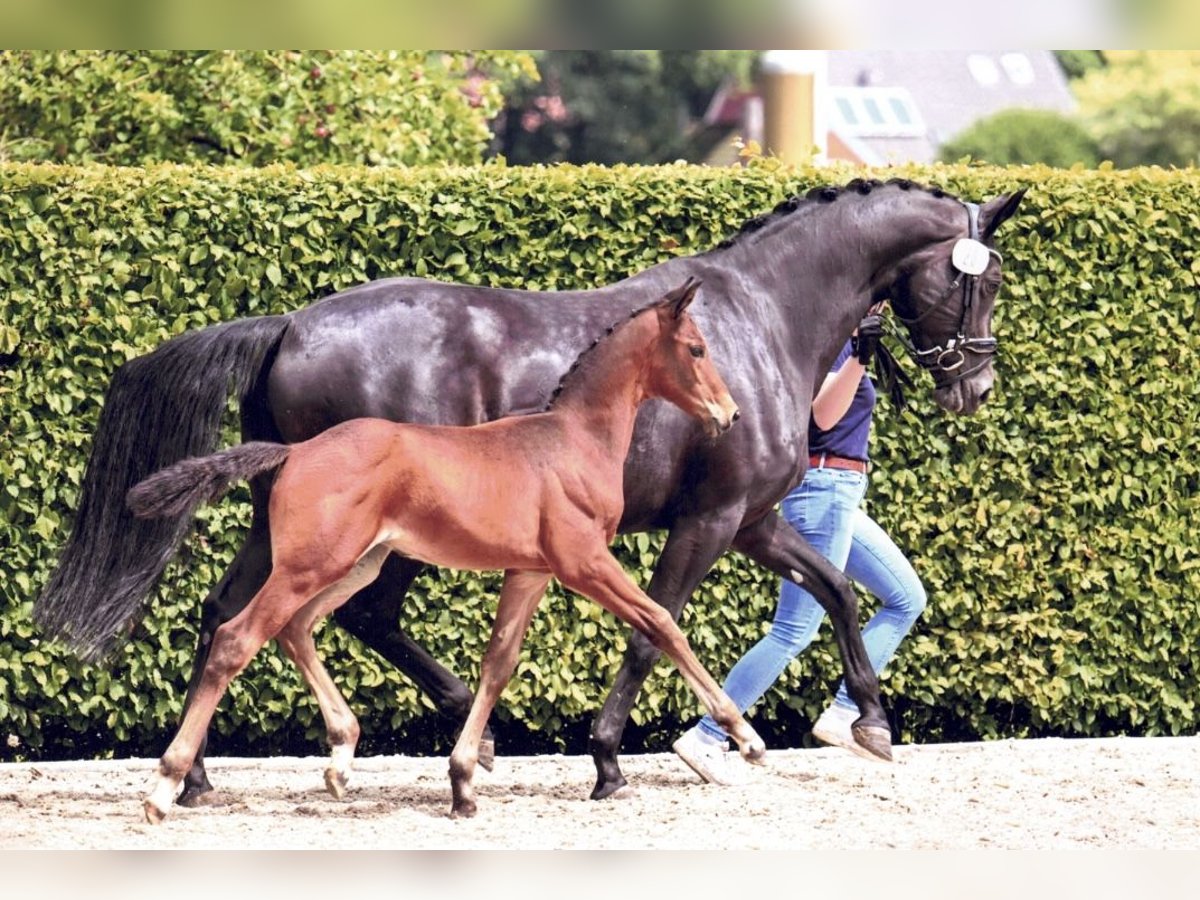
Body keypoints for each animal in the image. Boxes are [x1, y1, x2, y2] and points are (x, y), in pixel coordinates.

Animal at [129, 280, 758, 825]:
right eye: (697, 348)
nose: (730, 413)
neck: (573, 441)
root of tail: (294, 452)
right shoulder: (583, 562)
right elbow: (661, 623)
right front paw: (744, 737)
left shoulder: (529, 571)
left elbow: (498, 662)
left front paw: (462, 782)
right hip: (313, 564)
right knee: (237, 637)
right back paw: (166, 787)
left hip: (356, 564)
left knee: (296, 627)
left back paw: (340, 759)